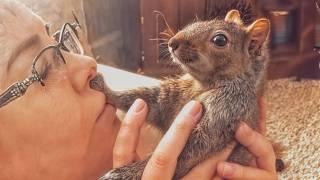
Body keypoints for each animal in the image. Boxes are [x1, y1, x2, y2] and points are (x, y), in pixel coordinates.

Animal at [100, 9, 272, 179]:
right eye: (194, 23)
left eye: (220, 40)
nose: (172, 42)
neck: (203, 86)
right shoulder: (170, 97)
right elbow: (147, 101)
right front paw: (105, 90)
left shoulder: (227, 111)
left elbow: (191, 150)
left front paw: (125, 173)